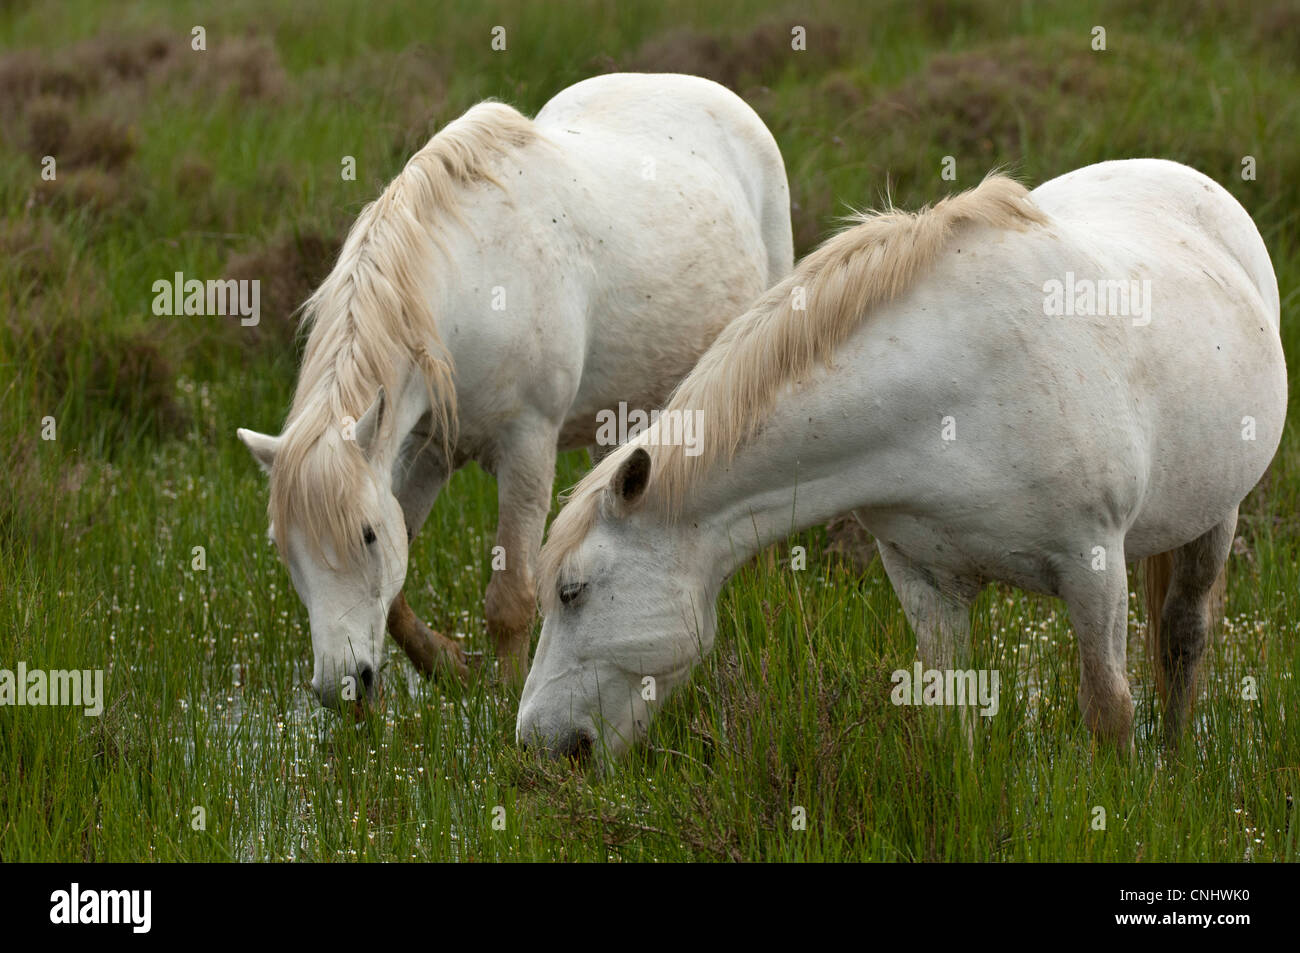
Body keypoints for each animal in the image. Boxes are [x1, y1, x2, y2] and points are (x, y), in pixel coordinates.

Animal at [239, 72, 795, 696]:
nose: (341, 686)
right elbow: (398, 592)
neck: (473, 286)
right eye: (286, 549)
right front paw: (450, 665)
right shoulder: (429, 448)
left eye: (365, 536)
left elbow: (511, 598)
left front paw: (504, 699)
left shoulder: (528, 444)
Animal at [520, 157, 1289, 764]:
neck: (954, 396)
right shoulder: (923, 574)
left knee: (1182, 638)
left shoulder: (1093, 566)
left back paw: (1176, 762)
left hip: (1217, 515)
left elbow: (1109, 708)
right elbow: (951, 712)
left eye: (573, 591)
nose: (534, 741)